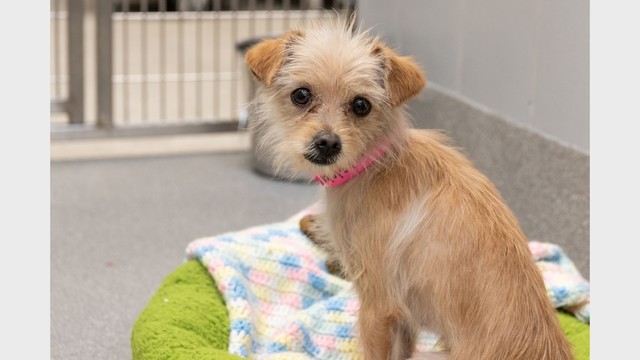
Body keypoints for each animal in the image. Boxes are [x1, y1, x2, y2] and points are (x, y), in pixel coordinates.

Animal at [245, 18, 576, 360]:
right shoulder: (404, 318)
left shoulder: (377, 307)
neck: (374, 164)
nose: (327, 142)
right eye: (301, 95)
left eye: (361, 105)